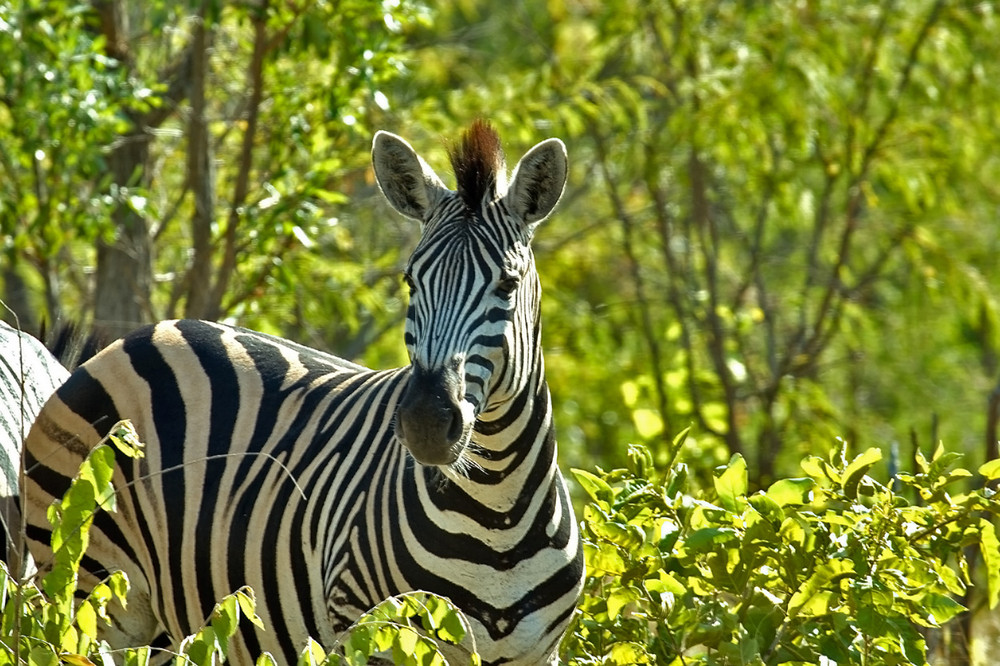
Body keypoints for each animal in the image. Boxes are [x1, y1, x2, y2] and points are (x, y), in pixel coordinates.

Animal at [21, 122, 584, 660]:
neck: (497, 514)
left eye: (507, 285)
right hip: (90, 591)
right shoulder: (374, 635)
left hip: (164, 626)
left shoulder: (540, 653)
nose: (424, 422)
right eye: (410, 282)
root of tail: (145, 333)